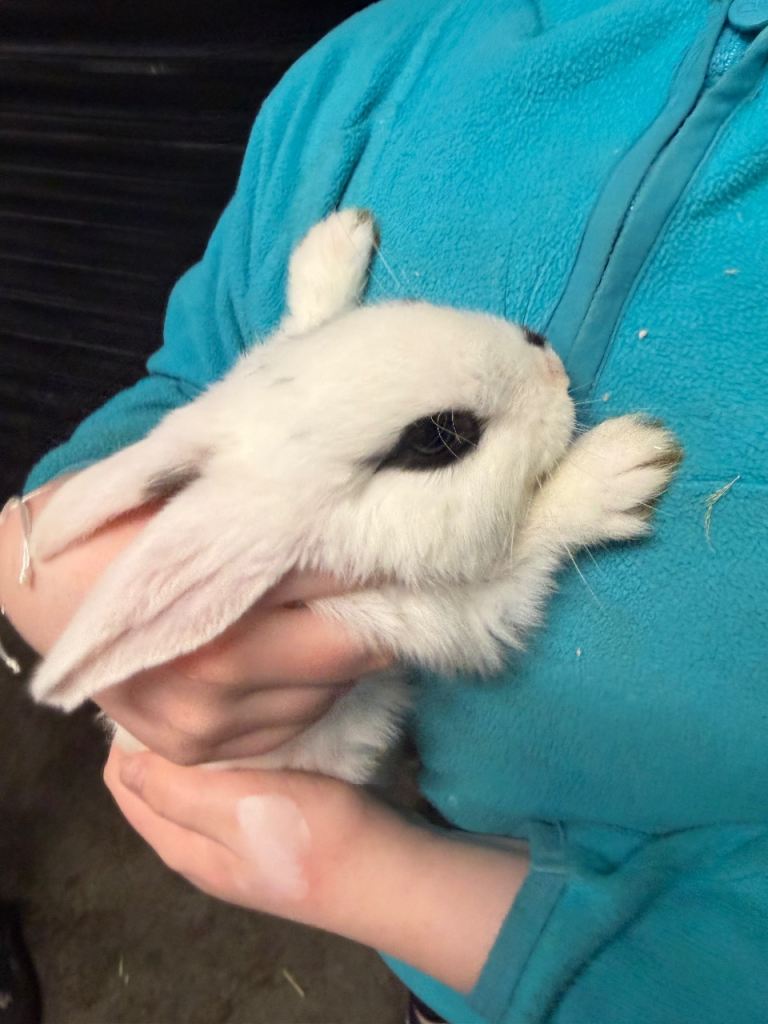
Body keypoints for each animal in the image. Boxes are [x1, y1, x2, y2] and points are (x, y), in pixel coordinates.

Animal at [28, 208, 682, 783]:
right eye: (438, 438)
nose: (546, 356)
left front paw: (336, 239)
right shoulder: (446, 613)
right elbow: (529, 541)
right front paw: (626, 461)